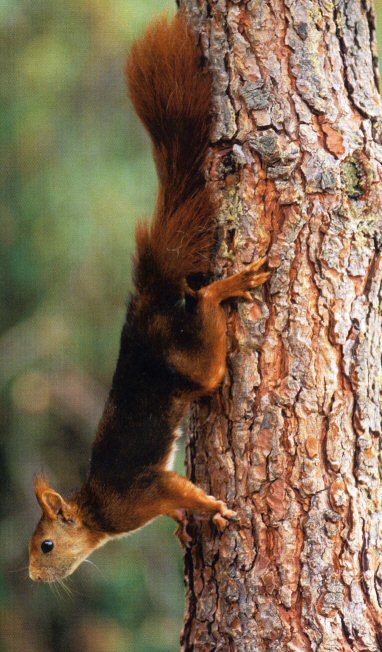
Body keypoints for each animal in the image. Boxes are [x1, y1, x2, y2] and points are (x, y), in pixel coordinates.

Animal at [29, 11, 268, 580]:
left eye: (45, 545)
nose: (31, 575)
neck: (98, 515)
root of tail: (142, 313)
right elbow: (179, 508)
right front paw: (187, 525)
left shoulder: (145, 492)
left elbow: (183, 491)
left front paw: (214, 507)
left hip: (195, 364)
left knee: (204, 314)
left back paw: (227, 286)